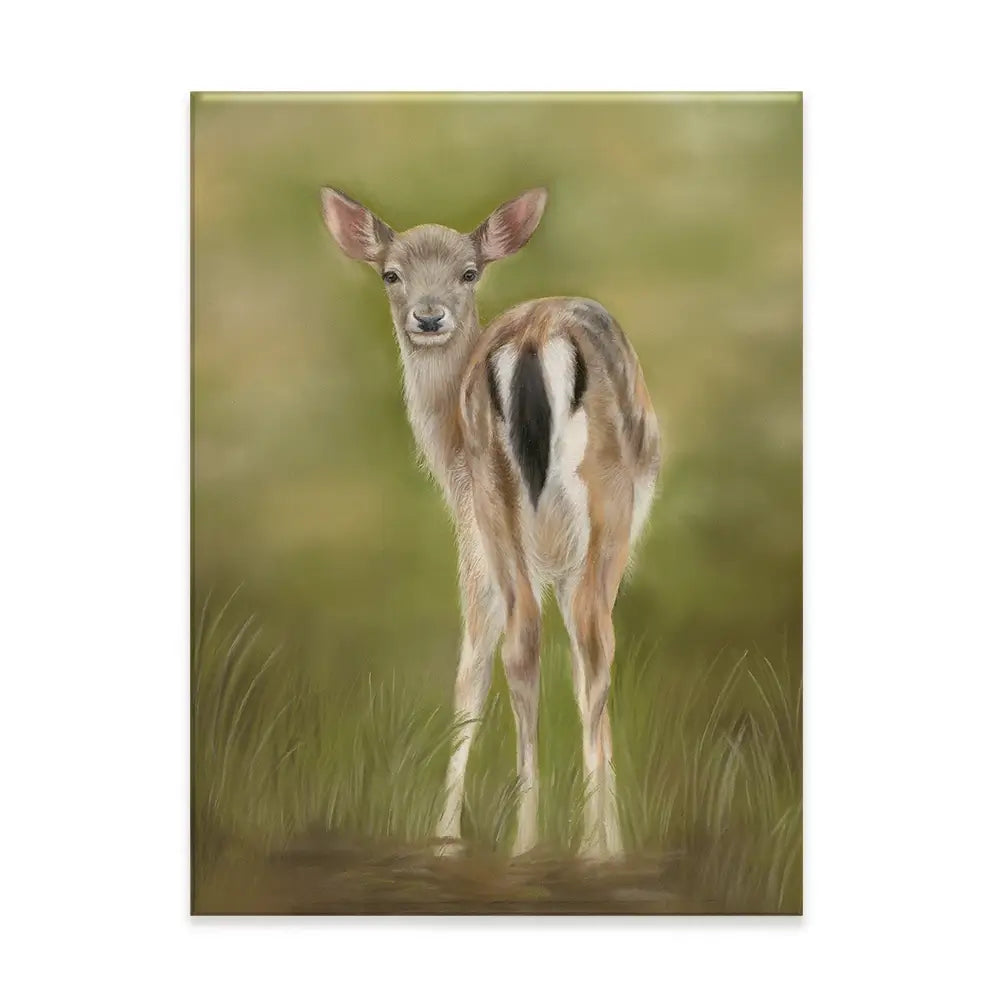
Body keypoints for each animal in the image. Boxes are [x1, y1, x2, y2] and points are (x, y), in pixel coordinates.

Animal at [320, 186, 660, 860]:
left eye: (468, 272)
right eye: (390, 273)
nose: (428, 318)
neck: (444, 452)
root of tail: (533, 340)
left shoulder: (490, 539)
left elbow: (486, 666)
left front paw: (447, 836)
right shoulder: (490, 543)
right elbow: (489, 669)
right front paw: (449, 835)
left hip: (506, 501)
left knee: (539, 640)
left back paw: (537, 842)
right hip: (583, 509)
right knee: (579, 641)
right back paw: (569, 847)